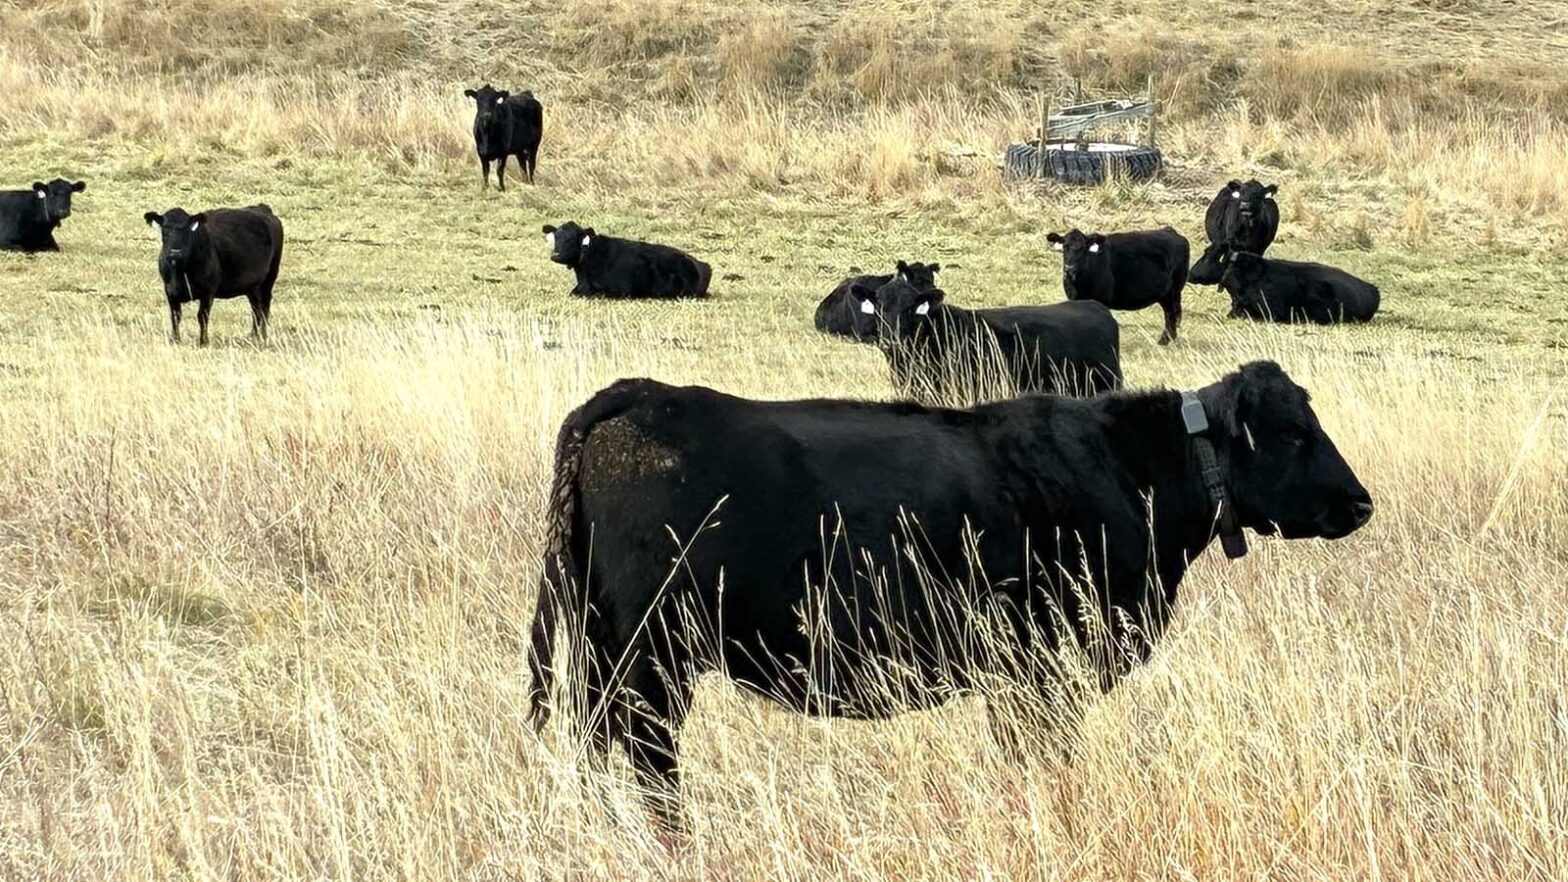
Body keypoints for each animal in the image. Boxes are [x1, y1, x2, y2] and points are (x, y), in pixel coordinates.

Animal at [144, 205, 284, 345]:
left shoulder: (208, 291)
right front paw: (175, 340)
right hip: (252, 286)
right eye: (165, 230)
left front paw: (203, 342)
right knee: (255, 309)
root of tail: (262, 208)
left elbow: (202, 316)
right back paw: (253, 336)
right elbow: (175, 316)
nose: (175, 253)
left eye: (186, 230)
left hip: (270, 278)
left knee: (264, 307)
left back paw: (263, 336)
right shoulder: (170, 291)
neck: (181, 272)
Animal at [524, 361, 1375, 830]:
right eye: (1295, 433)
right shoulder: (1041, 672)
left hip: (607, 654)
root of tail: (639, 397)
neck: (1124, 468)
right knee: (649, 759)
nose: (1359, 502)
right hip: (652, 660)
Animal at [1045, 227, 1189, 345]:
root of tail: (1170, 231)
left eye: (1083, 249)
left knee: (1172, 315)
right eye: (1065, 247)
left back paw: (1164, 341)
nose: (1069, 268)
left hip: (1173, 292)